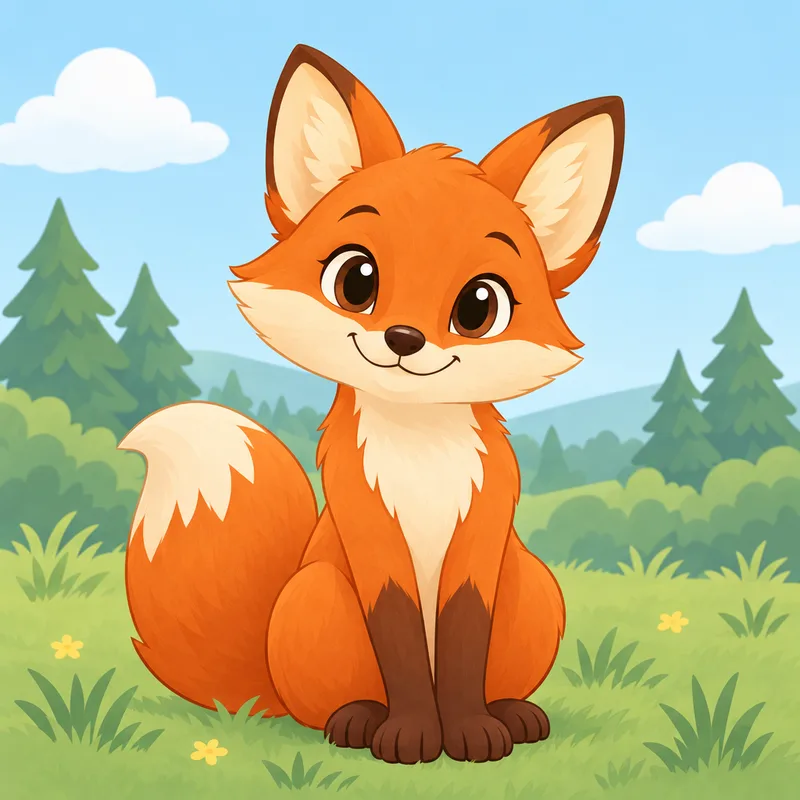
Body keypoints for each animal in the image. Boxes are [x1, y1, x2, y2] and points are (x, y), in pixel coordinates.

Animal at [119, 44, 625, 765]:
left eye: (480, 305)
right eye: (357, 279)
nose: (404, 339)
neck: (420, 455)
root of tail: (266, 687)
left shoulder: (482, 540)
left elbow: (463, 643)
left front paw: (469, 733)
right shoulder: (370, 533)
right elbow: (401, 641)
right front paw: (413, 734)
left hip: (532, 583)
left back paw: (513, 714)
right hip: (318, 594)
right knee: (326, 706)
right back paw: (356, 721)